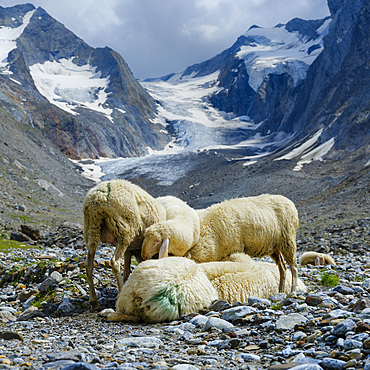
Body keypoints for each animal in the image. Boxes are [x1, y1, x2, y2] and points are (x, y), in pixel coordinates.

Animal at [84, 178, 166, 310]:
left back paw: (94, 302)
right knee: (115, 262)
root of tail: (100, 196)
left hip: (91, 229)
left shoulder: (129, 249)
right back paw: (120, 294)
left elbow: (127, 271)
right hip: (123, 231)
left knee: (88, 264)